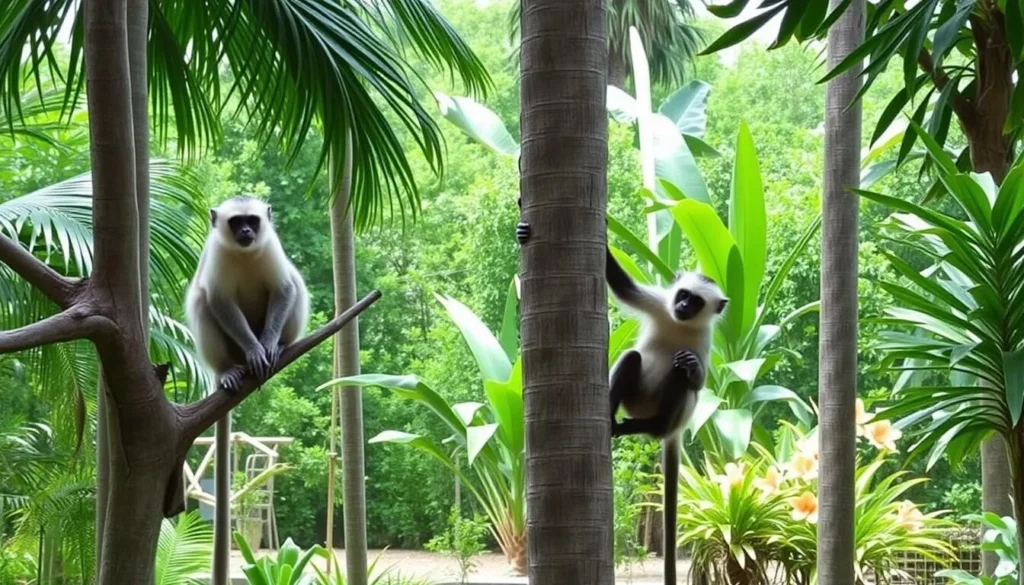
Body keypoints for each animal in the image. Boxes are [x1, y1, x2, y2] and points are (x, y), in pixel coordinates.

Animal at [185, 196, 309, 393]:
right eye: (236, 221)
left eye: (252, 220)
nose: (245, 231)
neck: (245, 254)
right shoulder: (217, 250)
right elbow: (219, 299)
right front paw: (254, 350)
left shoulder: (271, 243)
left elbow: (284, 288)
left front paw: (270, 344)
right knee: (200, 301)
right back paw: (226, 370)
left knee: (295, 283)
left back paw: (281, 345)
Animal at [516, 207, 727, 585]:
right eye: (683, 294)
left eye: (697, 301)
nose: (683, 306)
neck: (680, 325)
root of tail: (673, 430)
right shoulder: (660, 304)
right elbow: (620, 286)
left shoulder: (704, 339)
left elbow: (700, 381)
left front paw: (692, 368)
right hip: (636, 397)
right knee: (632, 358)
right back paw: (612, 420)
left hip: (671, 413)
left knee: (679, 382)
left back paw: (648, 424)